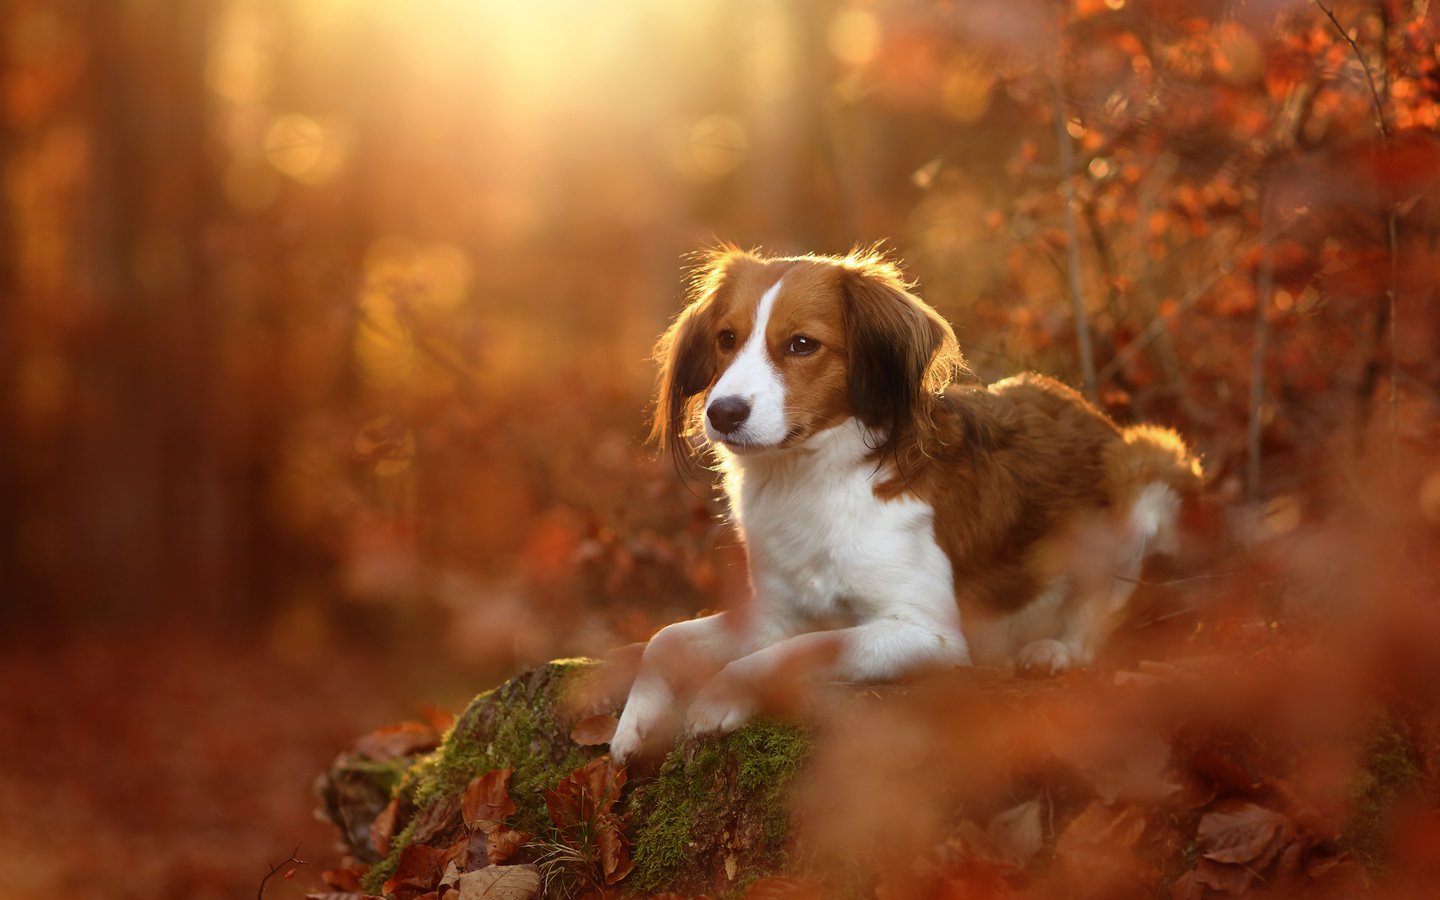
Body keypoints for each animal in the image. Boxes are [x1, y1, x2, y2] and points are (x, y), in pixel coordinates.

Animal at [607, 247, 1203, 766]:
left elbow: (800, 651)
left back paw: (1056, 650)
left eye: (801, 344)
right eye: (726, 339)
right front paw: (636, 724)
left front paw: (719, 695)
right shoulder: (779, 612)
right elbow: (666, 638)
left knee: (1104, 611)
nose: (723, 412)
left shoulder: (928, 633)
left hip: (1146, 465)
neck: (813, 477)